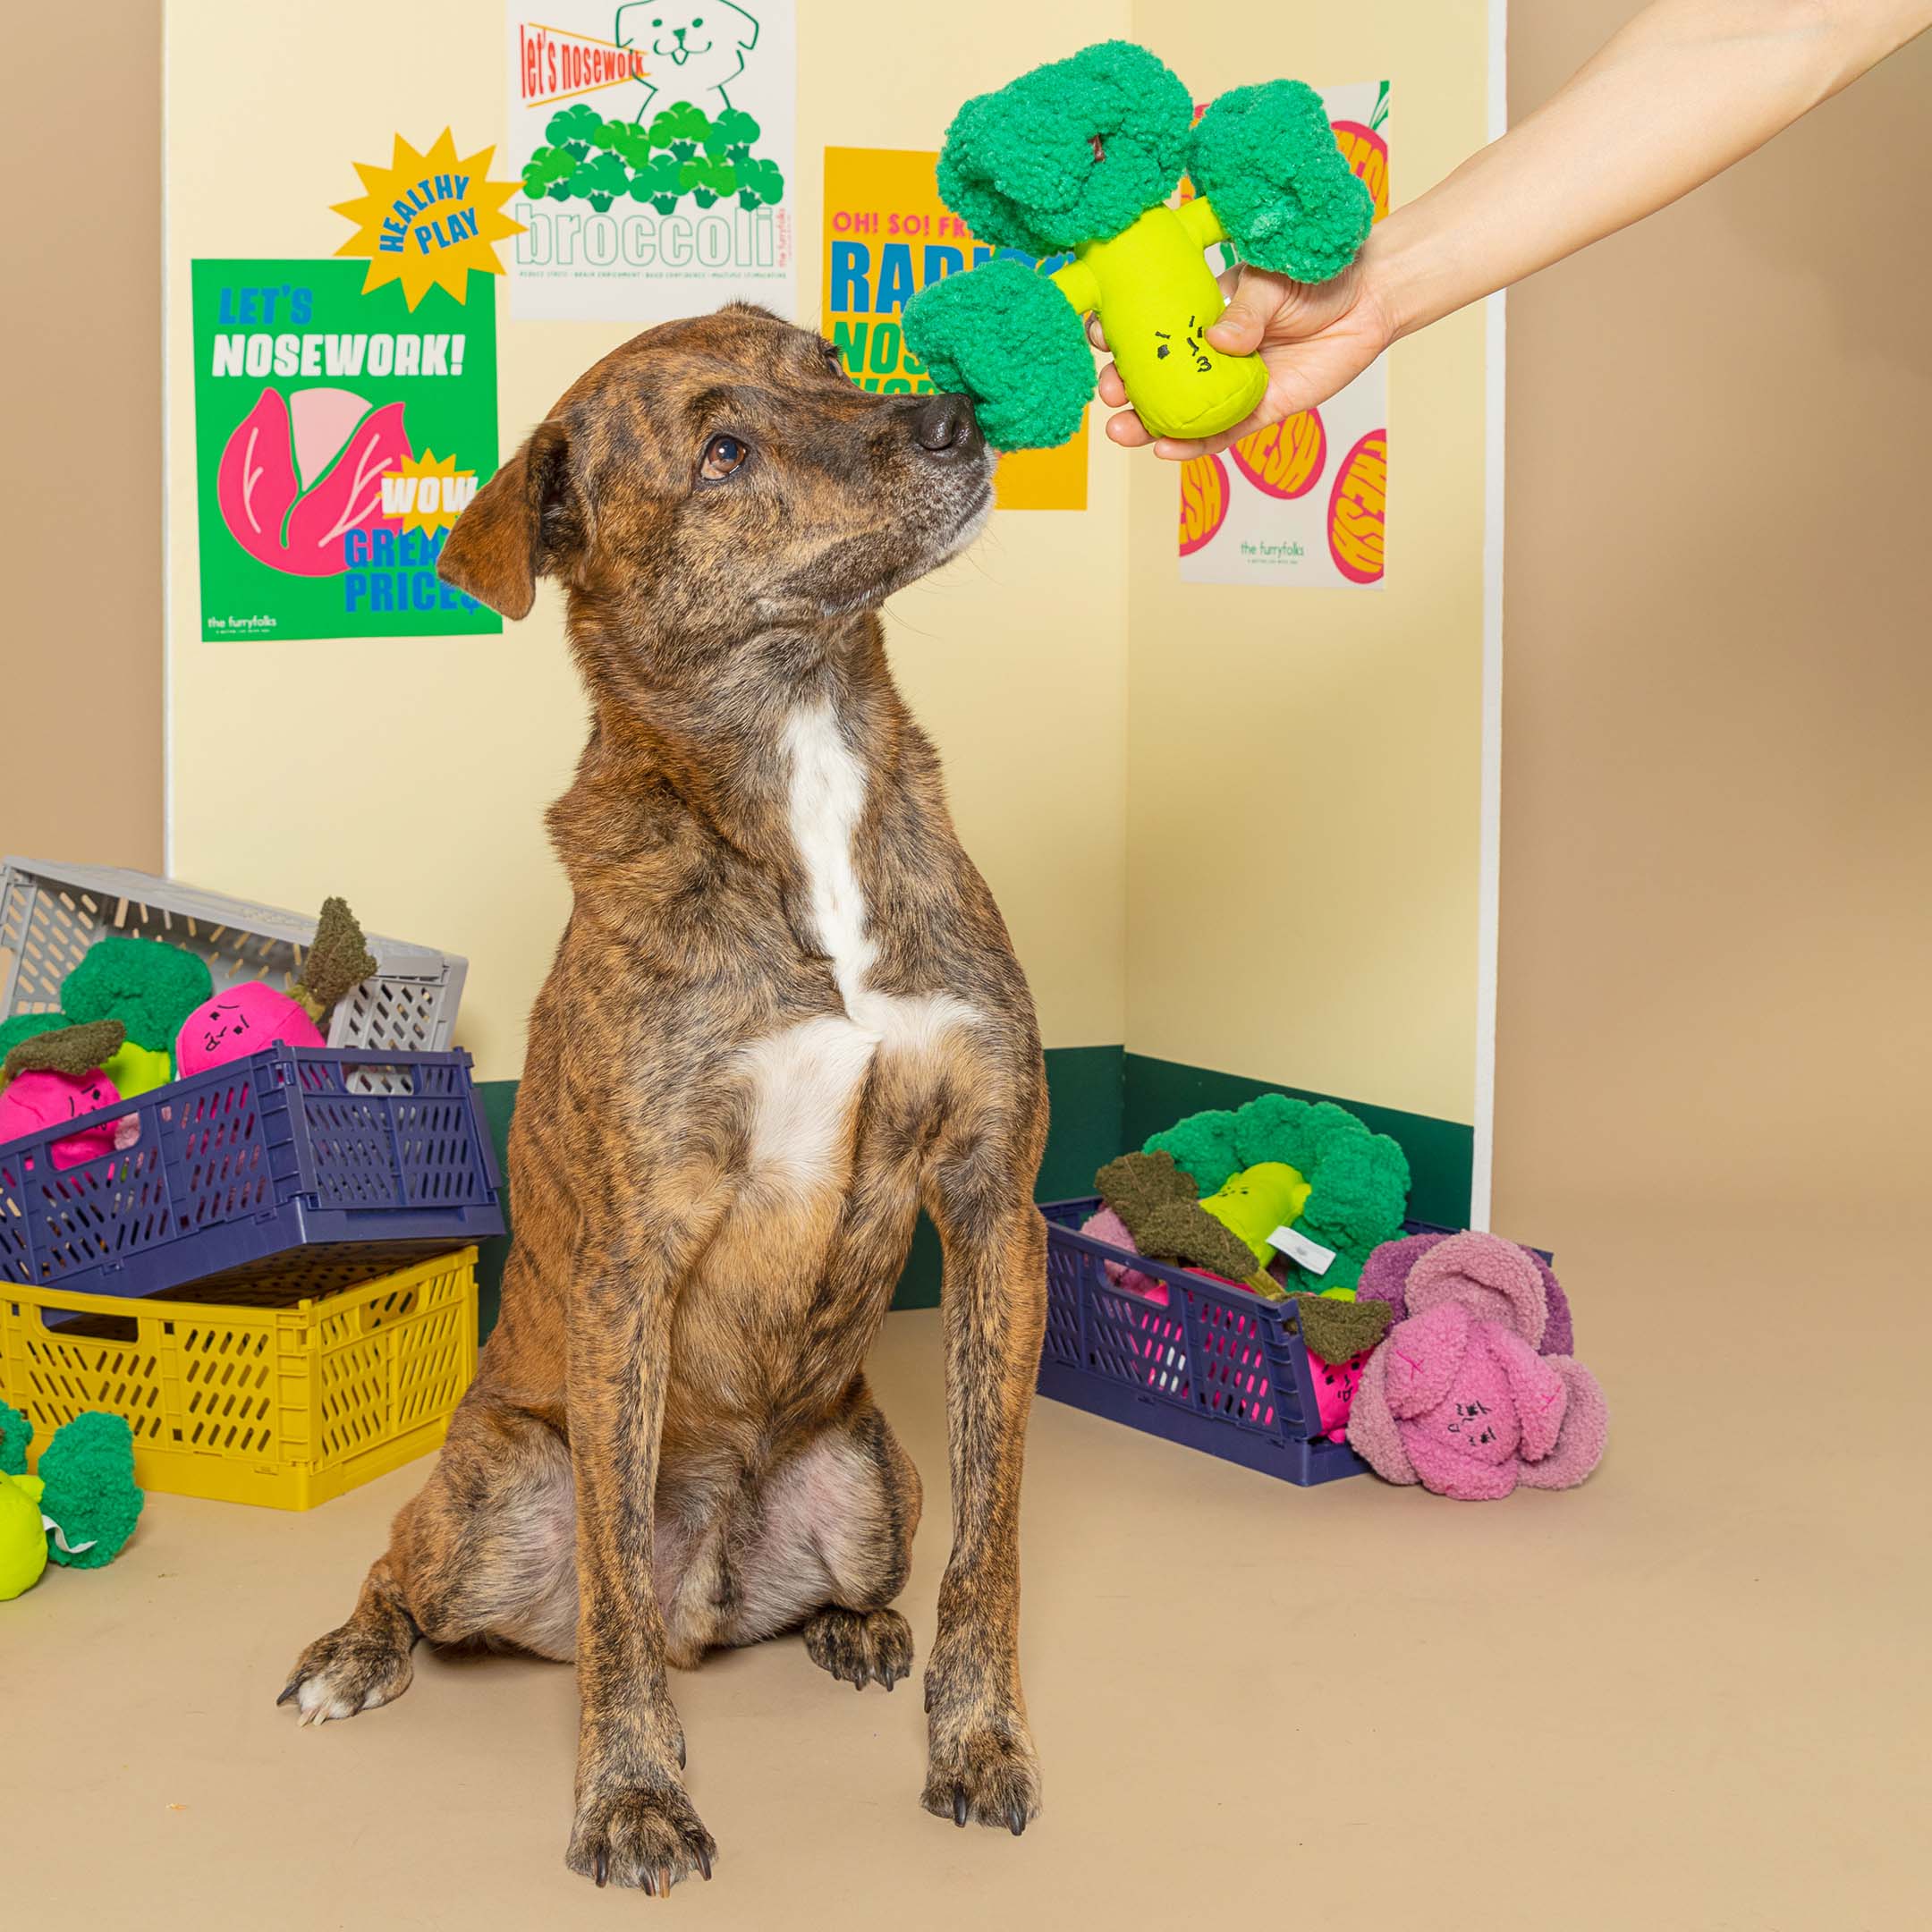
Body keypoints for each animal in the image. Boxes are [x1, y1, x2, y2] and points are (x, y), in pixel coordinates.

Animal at [280, 309, 1051, 1893]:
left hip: (873, 1478)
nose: (952, 415)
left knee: (837, 1571)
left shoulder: (998, 1210)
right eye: (723, 452)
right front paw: (632, 1797)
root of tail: (719, 1596)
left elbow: (991, 1550)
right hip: (492, 1496)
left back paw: (852, 1627)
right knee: (437, 1568)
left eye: (828, 361)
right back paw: (353, 1652)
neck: (803, 771)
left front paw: (977, 1743)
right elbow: (616, 1614)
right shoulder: (631, 1266)